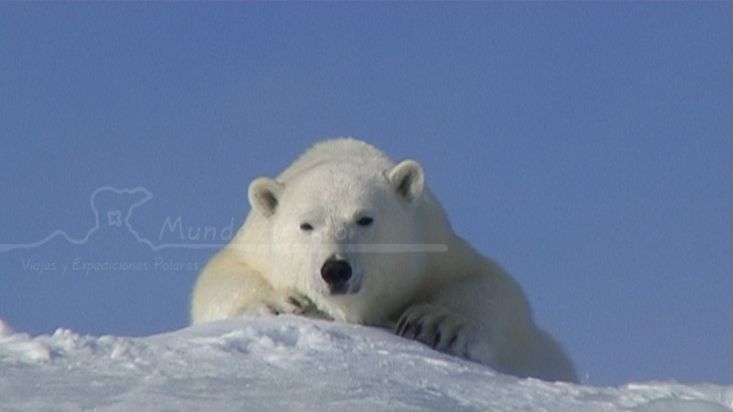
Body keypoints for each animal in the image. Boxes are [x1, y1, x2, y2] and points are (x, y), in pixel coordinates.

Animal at [190, 139, 576, 384]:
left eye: (364, 219)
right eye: (306, 225)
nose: (335, 270)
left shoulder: (431, 246)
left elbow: (497, 287)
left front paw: (435, 321)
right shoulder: (256, 244)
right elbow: (216, 278)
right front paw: (280, 301)